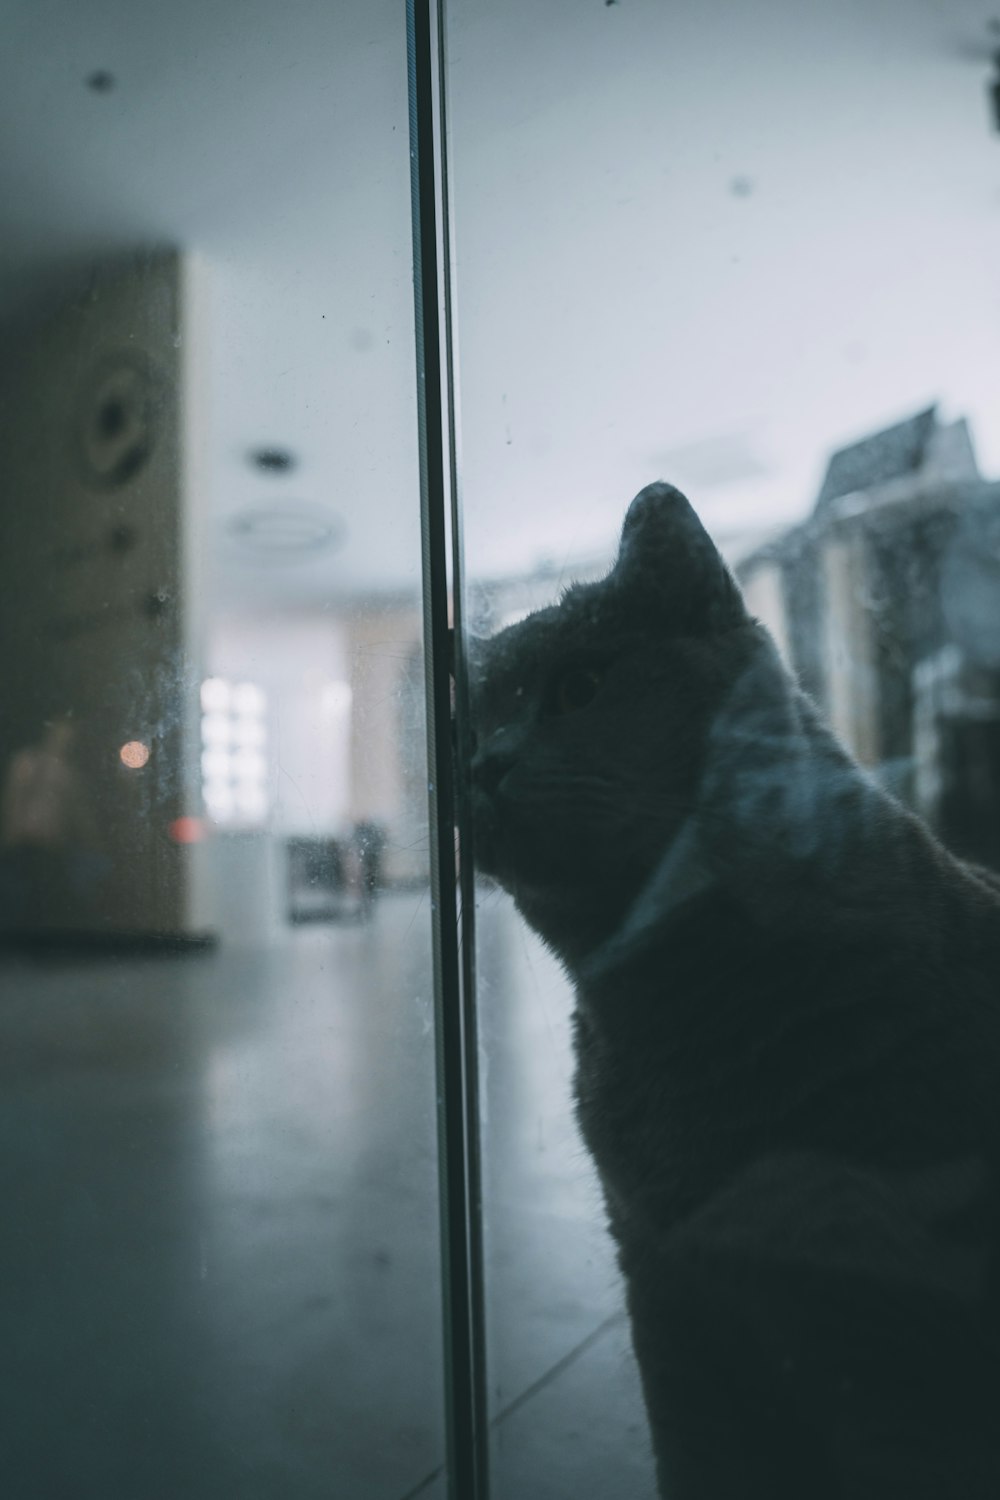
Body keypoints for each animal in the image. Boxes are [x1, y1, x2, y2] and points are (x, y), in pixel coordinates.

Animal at [467, 486, 1000, 1494]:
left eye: (579, 687)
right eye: (461, 729)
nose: (481, 764)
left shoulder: (888, 1329)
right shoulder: (669, 1302)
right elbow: (698, 1459)